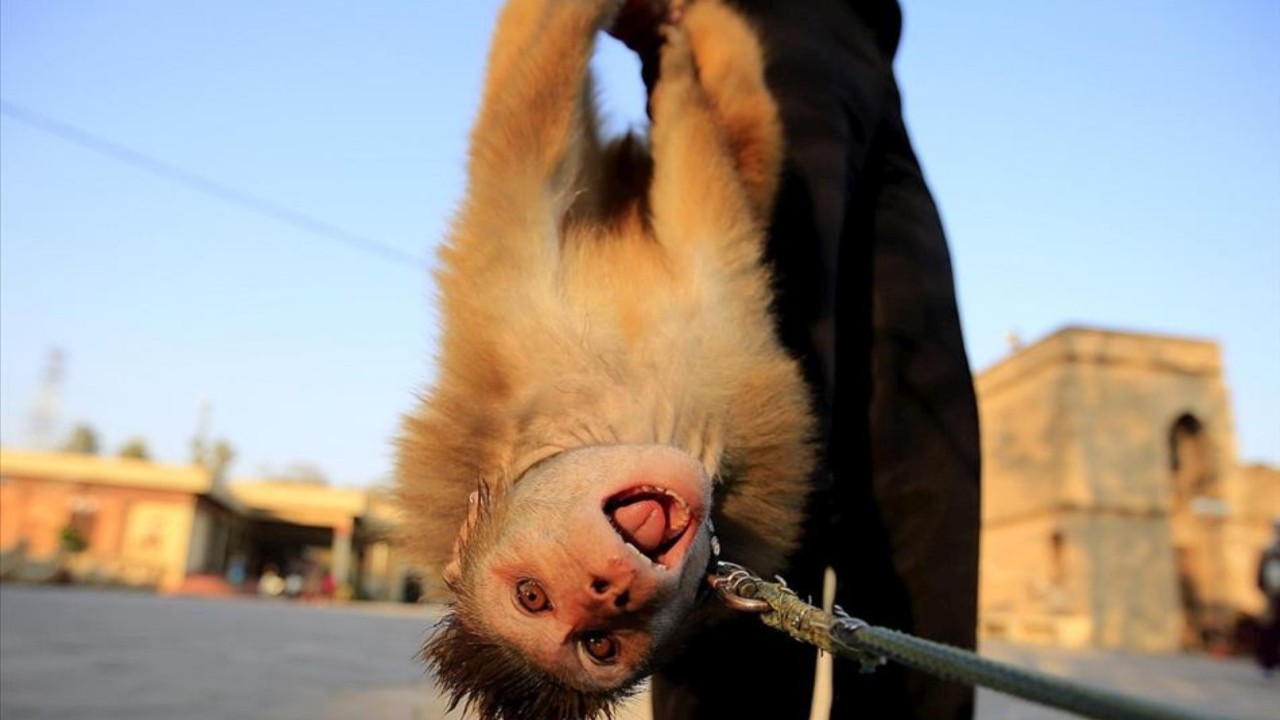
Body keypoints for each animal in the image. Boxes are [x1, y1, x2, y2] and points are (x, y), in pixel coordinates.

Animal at [396, 1, 819, 712]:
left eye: (530, 595)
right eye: (598, 643)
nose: (607, 588)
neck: (626, 421)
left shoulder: (514, 312)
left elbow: (532, 131)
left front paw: (645, 33)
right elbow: (533, 132)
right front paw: (672, 69)